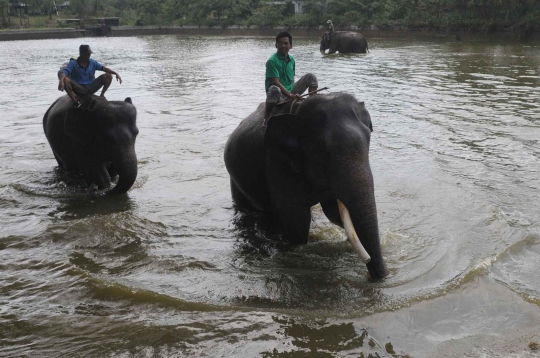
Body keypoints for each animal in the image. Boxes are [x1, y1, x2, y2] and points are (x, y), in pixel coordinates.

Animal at [224, 92, 388, 280]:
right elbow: (295, 218)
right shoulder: (277, 162)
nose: (382, 277)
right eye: (322, 151)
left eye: (369, 139)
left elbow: (332, 211)